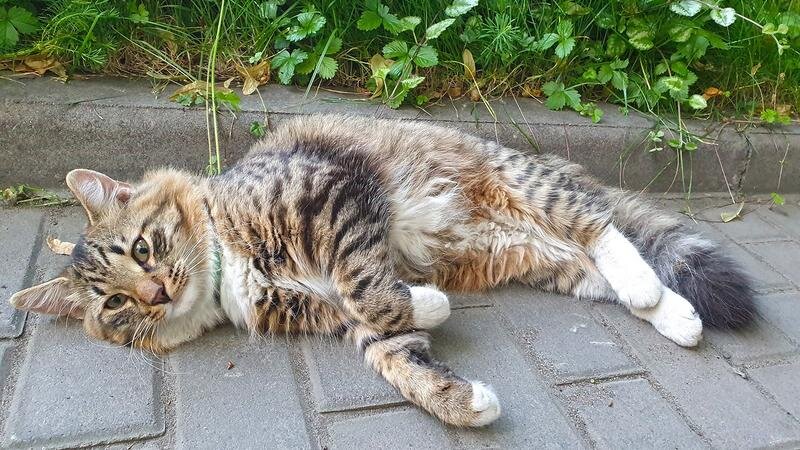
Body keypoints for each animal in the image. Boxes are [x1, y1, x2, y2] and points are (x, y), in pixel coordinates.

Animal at [9, 114, 754, 427]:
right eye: (113, 307)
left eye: (142, 250)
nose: (155, 292)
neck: (227, 270)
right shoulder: (319, 311)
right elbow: (393, 351)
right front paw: (463, 400)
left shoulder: (335, 197)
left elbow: (370, 291)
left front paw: (429, 305)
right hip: (538, 257)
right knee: (604, 265)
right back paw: (676, 315)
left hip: (535, 192)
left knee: (604, 228)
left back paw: (648, 287)